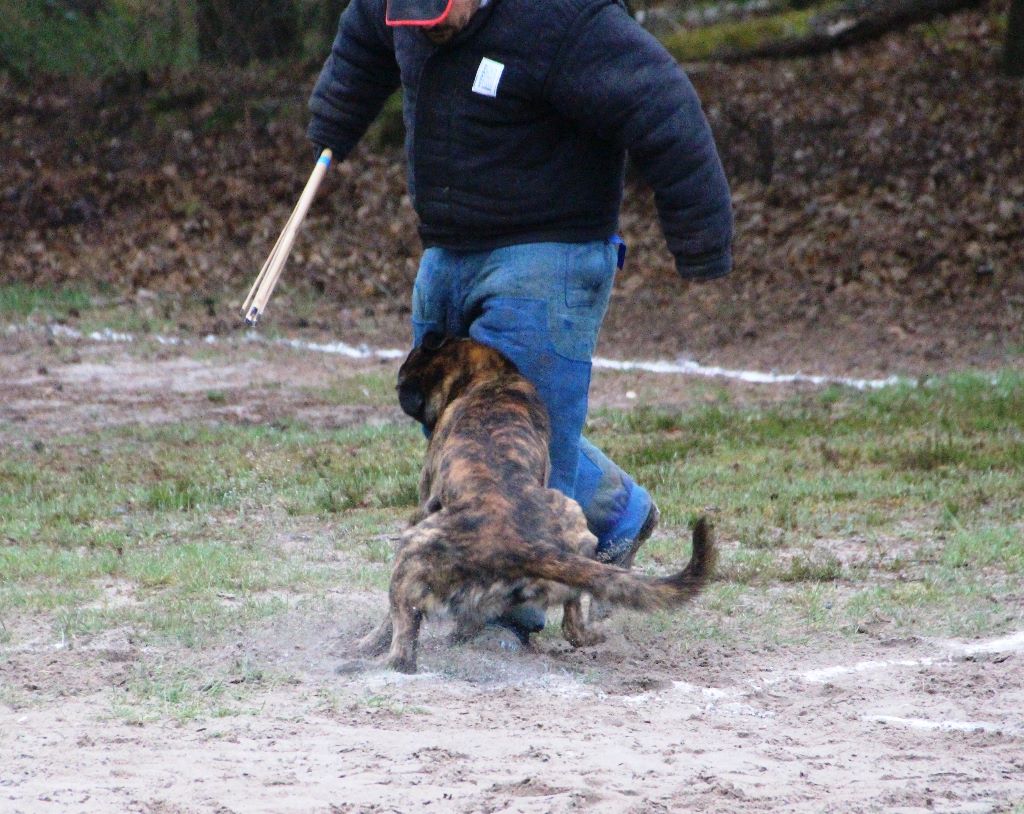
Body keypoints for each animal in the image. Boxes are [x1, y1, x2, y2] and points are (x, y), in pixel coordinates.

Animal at [356, 333, 716, 671]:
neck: (490, 376)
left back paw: (364, 657)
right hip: (575, 530)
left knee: (402, 650)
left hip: (411, 553)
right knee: (574, 624)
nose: (400, 389)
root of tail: (522, 546)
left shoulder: (424, 498)